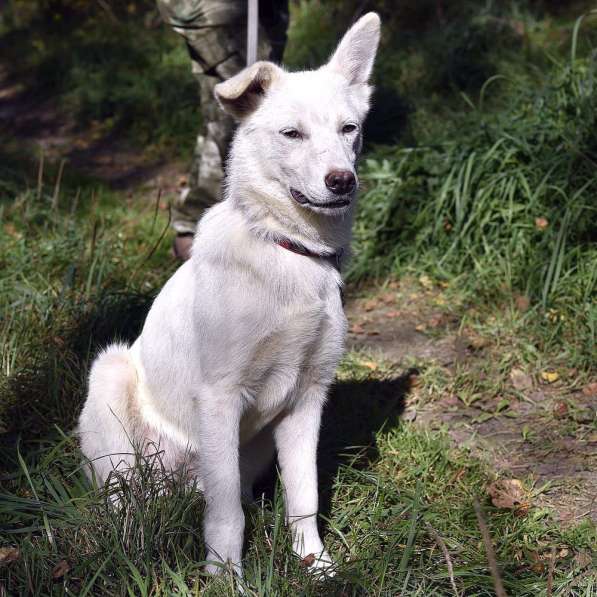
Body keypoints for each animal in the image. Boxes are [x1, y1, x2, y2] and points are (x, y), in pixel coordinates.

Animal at [77, 11, 380, 576]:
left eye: (349, 129)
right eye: (291, 133)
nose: (342, 181)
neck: (288, 252)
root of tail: (170, 483)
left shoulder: (307, 400)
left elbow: (303, 498)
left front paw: (316, 565)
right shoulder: (220, 398)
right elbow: (225, 519)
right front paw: (226, 577)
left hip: (251, 448)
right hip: (111, 381)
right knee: (124, 503)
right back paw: (130, 549)